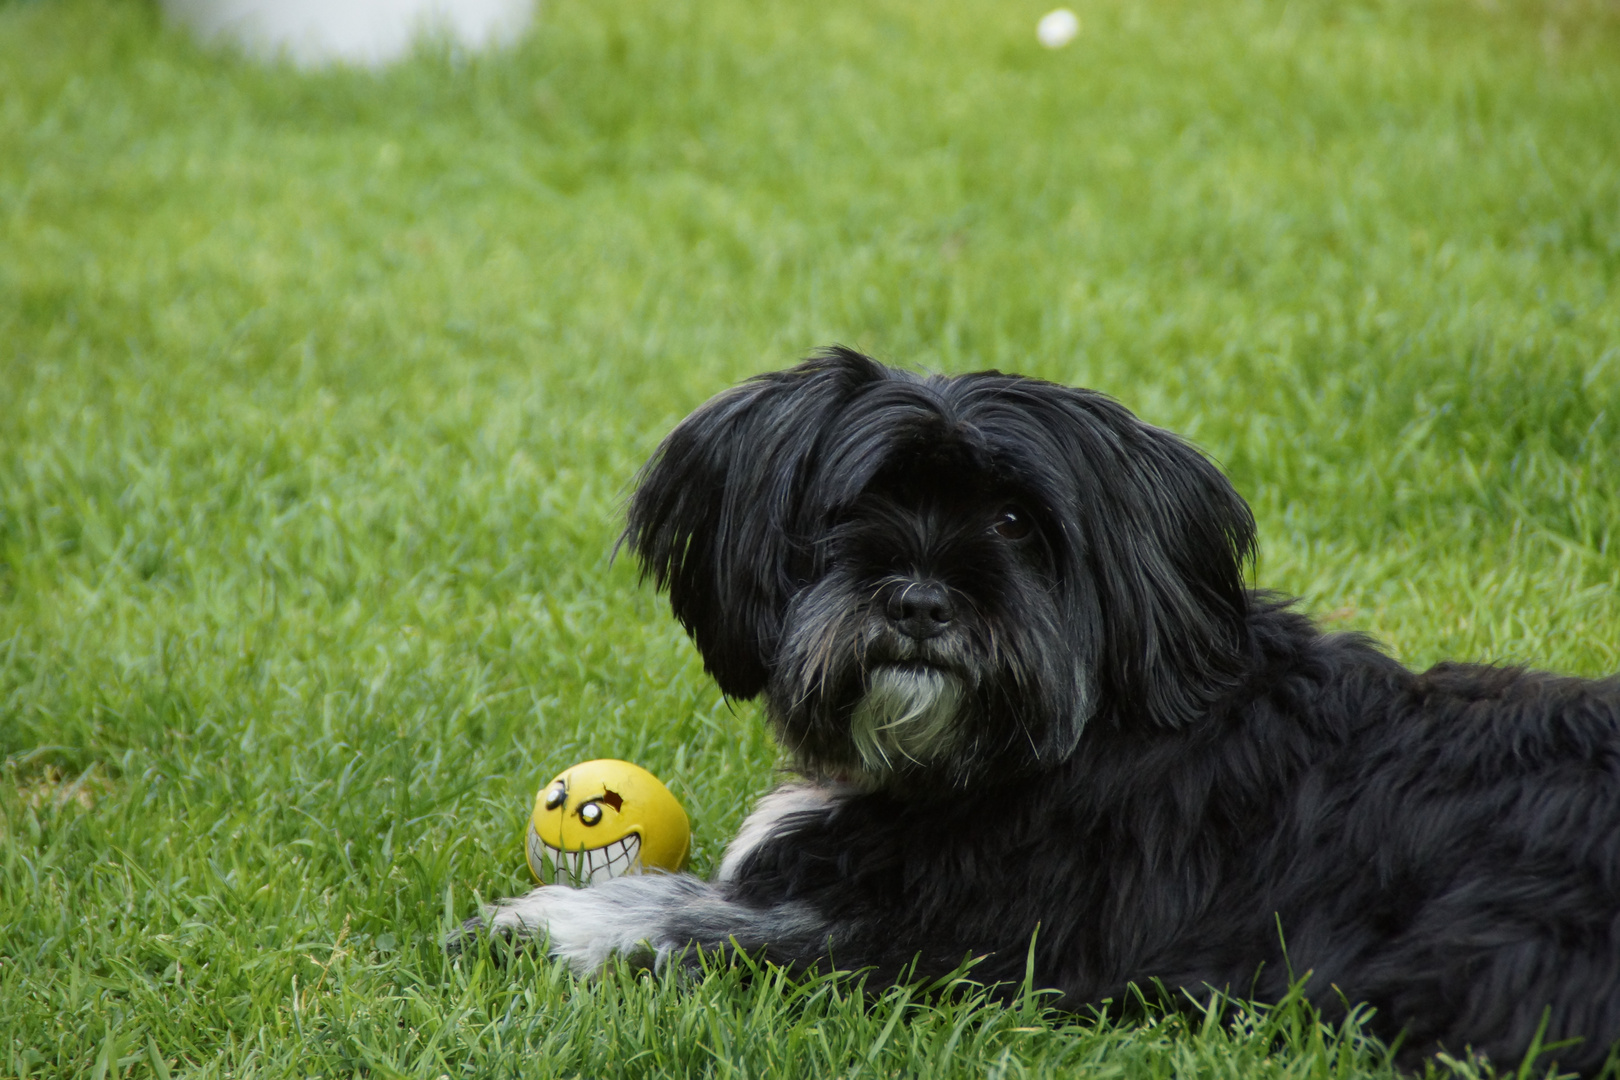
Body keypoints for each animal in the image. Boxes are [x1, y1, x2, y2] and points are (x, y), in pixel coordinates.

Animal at [453, 348, 1620, 1075]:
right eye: (858, 509)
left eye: (1017, 522)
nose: (923, 604)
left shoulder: (980, 942)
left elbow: (731, 924)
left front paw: (555, 924)